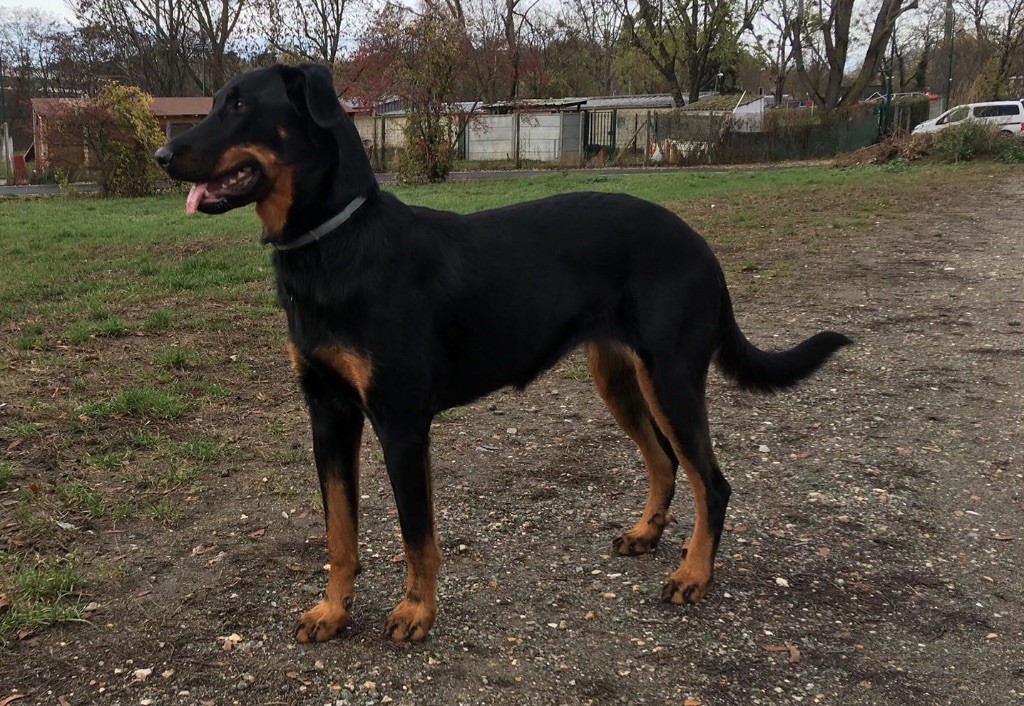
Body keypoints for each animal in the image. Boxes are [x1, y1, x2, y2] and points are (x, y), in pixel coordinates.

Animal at [155, 63, 851, 643]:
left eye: (241, 104)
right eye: (214, 102)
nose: (161, 155)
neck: (334, 245)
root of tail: (701, 246)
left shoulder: (401, 423)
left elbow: (417, 534)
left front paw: (416, 612)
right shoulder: (328, 414)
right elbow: (339, 532)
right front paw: (333, 612)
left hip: (672, 378)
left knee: (713, 481)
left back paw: (694, 575)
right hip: (620, 378)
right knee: (664, 463)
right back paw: (647, 535)